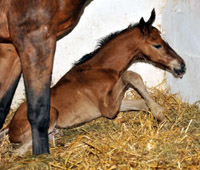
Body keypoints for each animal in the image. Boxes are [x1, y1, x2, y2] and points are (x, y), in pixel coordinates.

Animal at [7, 9, 186, 155]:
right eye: (157, 45)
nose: (182, 66)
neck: (100, 69)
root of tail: (10, 129)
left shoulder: (114, 105)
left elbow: (141, 103)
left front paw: (162, 118)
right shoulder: (108, 108)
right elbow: (131, 75)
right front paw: (159, 112)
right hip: (51, 114)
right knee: (18, 151)